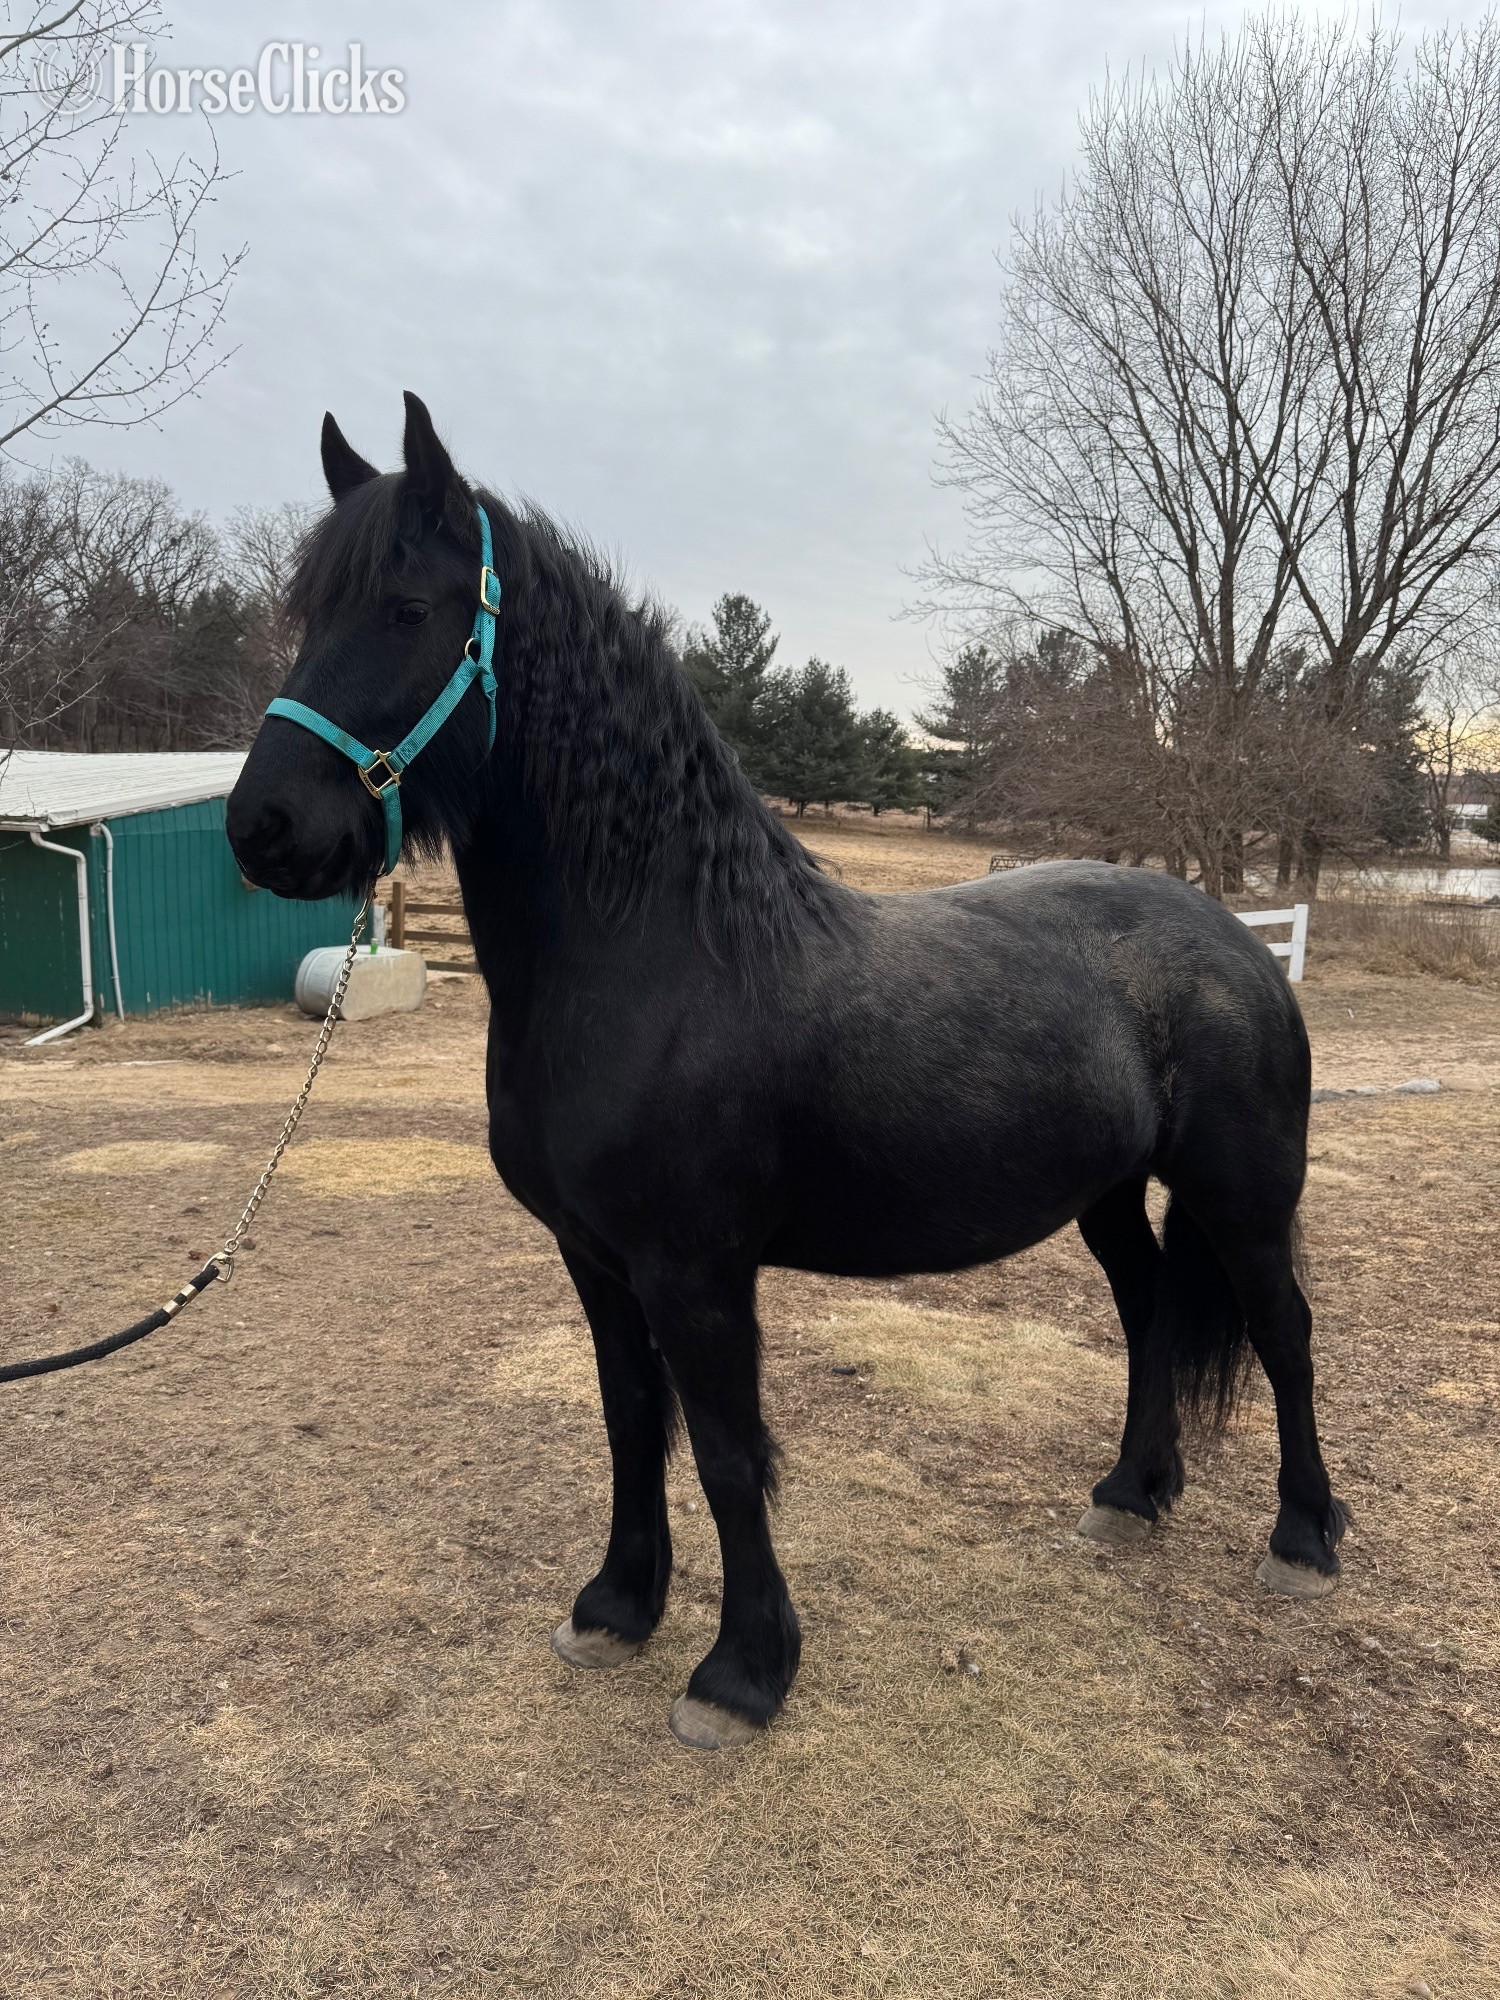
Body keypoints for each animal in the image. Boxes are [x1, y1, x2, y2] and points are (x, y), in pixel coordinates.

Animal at [226, 393, 1348, 1751]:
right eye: (307, 613)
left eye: (404, 608)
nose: (264, 829)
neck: (661, 950)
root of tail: (1239, 939)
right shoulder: (595, 1258)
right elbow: (630, 1421)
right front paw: (617, 1607)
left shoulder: (697, 1271)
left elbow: (724, 1450)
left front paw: (742, 1672)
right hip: (1110, 1196)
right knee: (1148, 1313)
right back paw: (1130, 1492)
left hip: (1244, 1195)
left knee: (1286, 1332)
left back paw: (1303, 1538)